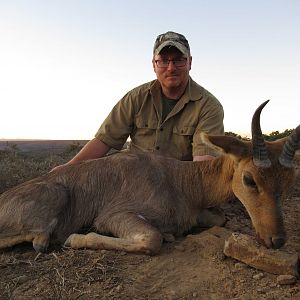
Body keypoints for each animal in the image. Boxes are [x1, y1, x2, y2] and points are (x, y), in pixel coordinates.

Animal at [0, 101, 298, 253]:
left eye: (287, 181)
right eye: (249, 179)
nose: (277, 240)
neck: (179, 180)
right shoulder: (114, 216)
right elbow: (151, 240)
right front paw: (75, 239)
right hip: (56, 196)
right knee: (37, 241)